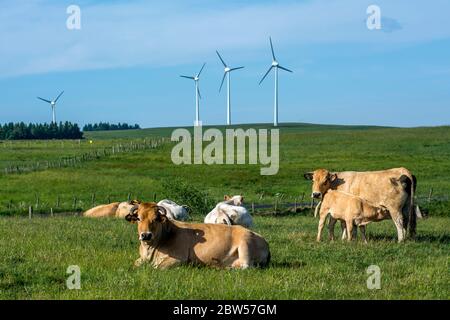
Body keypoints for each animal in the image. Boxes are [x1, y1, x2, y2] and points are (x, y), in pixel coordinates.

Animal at [125, 201, 268, 268]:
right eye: (138, 218)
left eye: (155, 218)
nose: (146, 235)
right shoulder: (141, 259)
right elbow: (134, 265)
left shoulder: (178, 259)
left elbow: (155, 267)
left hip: (245, 244)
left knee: (246, 266)